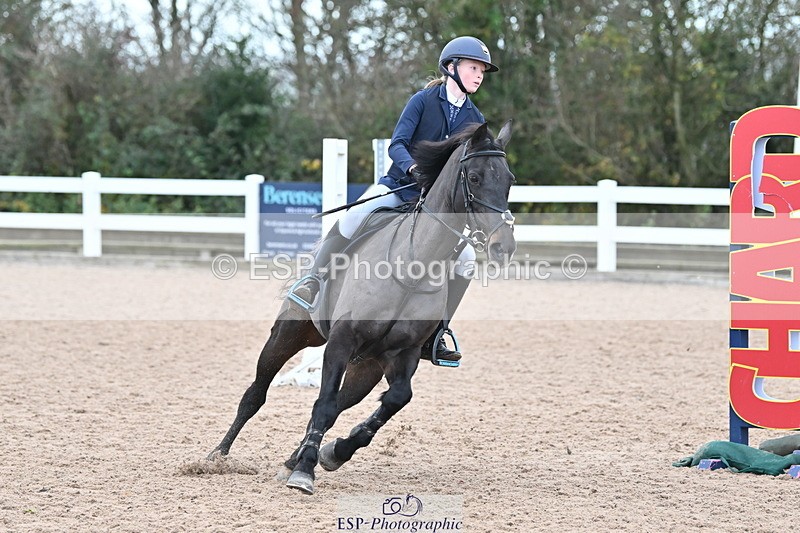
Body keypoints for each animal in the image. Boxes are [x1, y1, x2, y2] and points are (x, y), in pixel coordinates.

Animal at [208, 120, 516, 494]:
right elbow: (323, 403)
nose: (504, 247)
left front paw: (333, 452)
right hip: (290, 335)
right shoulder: (342, 340)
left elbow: (394, 399)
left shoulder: (404, 354)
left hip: (366, 366)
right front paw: (306, 471)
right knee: (257, 393)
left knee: (342, 401)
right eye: (474, 177)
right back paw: (217, 457)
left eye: (509, 180)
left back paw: (296, 457)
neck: (412, 265)